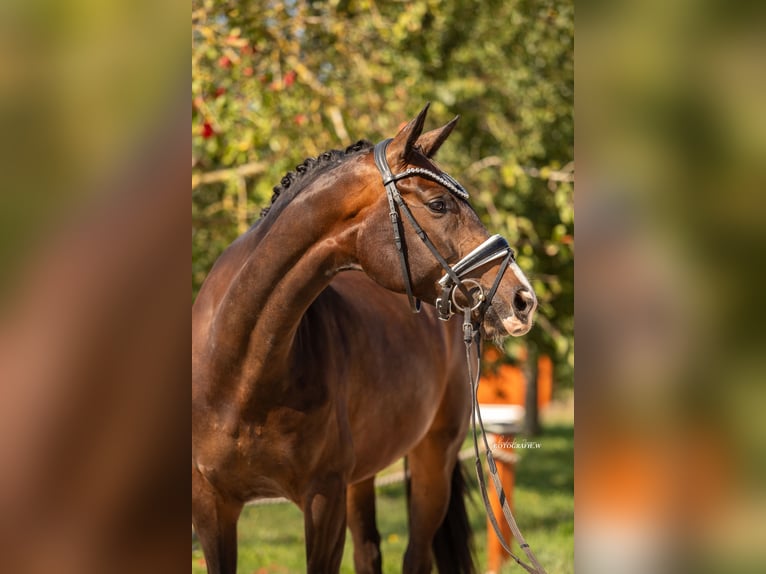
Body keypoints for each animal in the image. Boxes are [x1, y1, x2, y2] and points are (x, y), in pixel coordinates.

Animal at [192, 104, 540, 574]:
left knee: (416, 554)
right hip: (363, 475)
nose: (523, 299)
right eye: (439, 204)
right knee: (369, 550)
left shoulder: (324, 500)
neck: (239, 373)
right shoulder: (212, 507)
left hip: (433, 458)